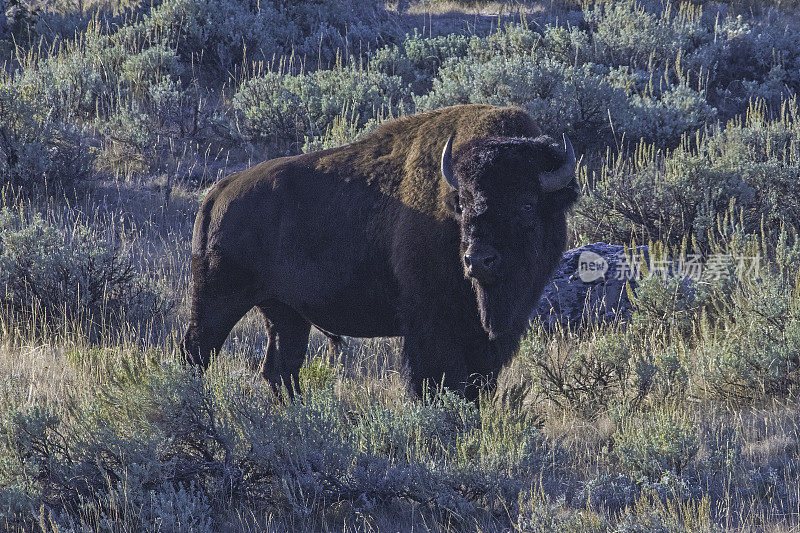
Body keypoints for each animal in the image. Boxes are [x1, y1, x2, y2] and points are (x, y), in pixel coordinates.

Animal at [181, 104, 580, 396]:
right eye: (463, 205)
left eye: (527, 204)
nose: (478, 260)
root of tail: (219, 191)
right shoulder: (430, 325)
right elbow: (439, 381)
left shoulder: (493, 337)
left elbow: (477, 385)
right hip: (218, 299)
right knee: (197, 353)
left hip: (284, 311)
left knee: (280, 369)